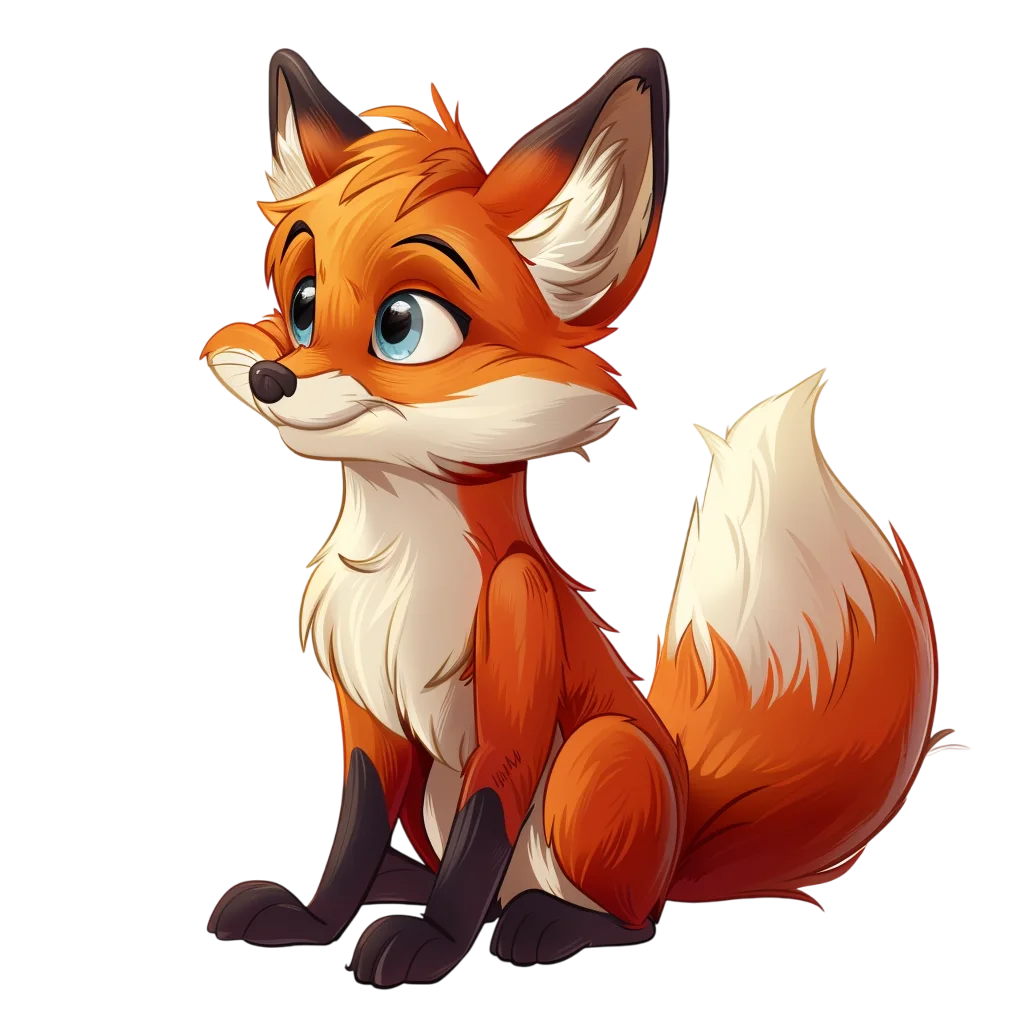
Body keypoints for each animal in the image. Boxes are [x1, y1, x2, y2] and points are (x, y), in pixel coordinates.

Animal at [202, 48, 956, 985]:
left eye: (402, 327)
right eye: (301, 305)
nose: (274, 380)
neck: (399, 568)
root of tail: (676, 849)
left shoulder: (519, 646)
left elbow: (486, 827)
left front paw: (434, 946)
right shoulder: (368, 717)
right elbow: (352, 839)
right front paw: (316, 919)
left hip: (602, 761)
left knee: (617, 916)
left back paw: (545, 923)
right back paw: (408, 885)